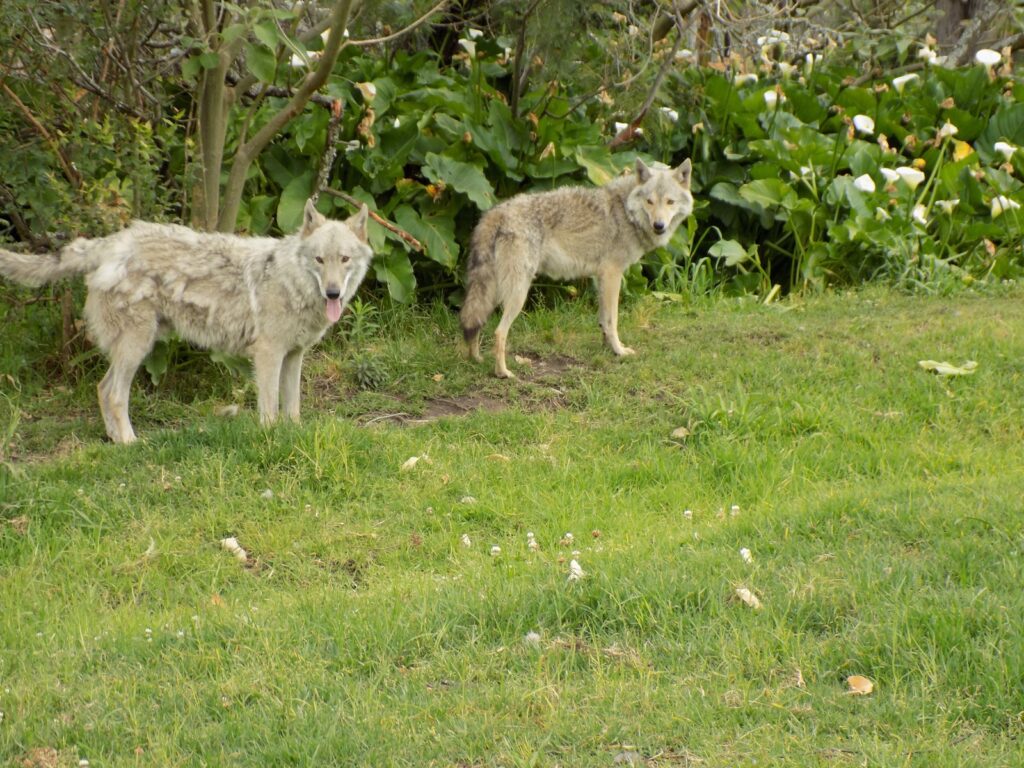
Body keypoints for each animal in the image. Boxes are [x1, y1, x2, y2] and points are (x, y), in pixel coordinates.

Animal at [0, 201, 373, 444]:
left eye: (344, 259)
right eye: (319, 260)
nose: (333, 293)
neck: (291, 281)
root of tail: (111, 242)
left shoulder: (294, 356)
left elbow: (292, 408)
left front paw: (293, 435)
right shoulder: (267, 355)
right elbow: (268, 410)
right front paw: (270, 440)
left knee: (102, 389)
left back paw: (116, 442)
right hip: (137, 346)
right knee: (112, 393)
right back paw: (132, 444)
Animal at [460, 158, 693, 378]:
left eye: (670, 202)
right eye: (650, 201)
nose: (659, 225)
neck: (626, 212)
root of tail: (496, 211)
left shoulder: (601, 278)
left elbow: (603, 320)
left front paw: (607, 348)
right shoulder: (613, 273)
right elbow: (613, 320)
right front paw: (619, 351)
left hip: (491, 291)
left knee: (475, 322)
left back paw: (476, 359)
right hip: (518, 293)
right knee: (499, 332)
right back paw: (503, 373)